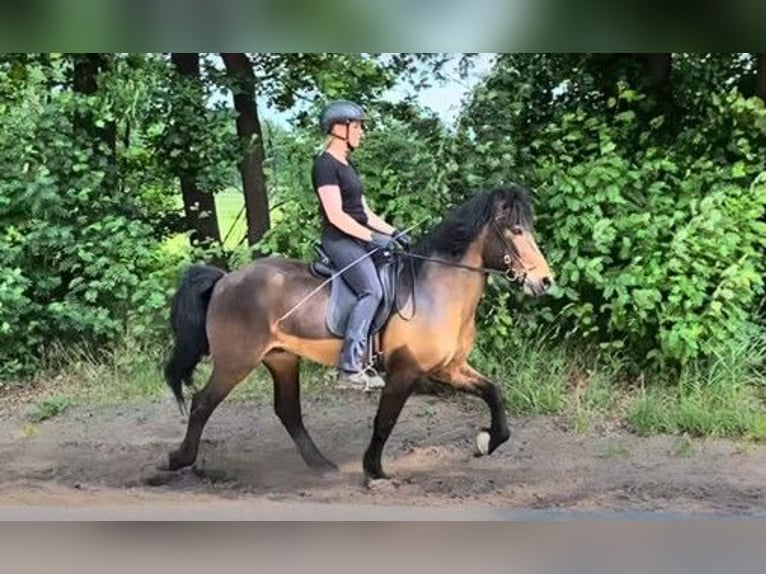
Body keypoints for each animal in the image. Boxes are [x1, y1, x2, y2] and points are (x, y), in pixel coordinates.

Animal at [161, 183, 553, 483]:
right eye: (516, 231)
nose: (545, 281)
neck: (438, 290)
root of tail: (225, 279)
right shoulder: (405, 371)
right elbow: (385, 420)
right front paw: (374, 471)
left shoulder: (449, 368)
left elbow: (493, 393)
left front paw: (488, 441)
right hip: (235, 362)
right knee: (202, 403)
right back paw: (178, 459)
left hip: (282, 359)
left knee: (287, 411)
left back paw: (322, 467)